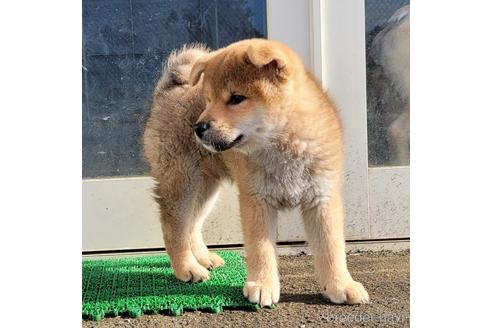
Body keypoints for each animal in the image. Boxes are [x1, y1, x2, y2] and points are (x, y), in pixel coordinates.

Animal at [144, 39, 368, 308]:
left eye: (236, 98)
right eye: (208, 100)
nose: (198, 127)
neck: (285, 144)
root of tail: (168, 91)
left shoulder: (321, 198)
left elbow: (331, 248)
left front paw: (341, 286)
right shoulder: (257, 200)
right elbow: (261, 249)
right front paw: (263, 286)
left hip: (205, 187)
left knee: (193, 223)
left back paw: (203, 258)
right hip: (182, 182)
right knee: (174, 225)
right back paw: (187, 268)